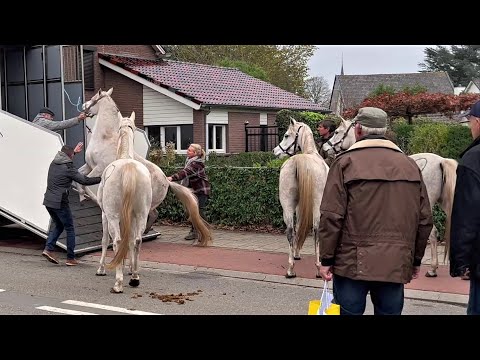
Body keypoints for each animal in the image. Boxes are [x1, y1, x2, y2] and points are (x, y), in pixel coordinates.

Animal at [78, 88, 211, 249]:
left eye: (94, 98)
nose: (83, 106)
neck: (106, 138)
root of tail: (167, 180)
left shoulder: (98, 168)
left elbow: (86, 184)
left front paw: (89, 198)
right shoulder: (88, 165)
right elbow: (78, 178)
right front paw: (81, 197)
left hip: (147, 203)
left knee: (152, 215)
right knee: (154, 215)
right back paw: (146, 232)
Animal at [95, 112, 152, 292]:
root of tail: (128, 168)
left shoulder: (105, 215)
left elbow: (105, 240)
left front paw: (101, 269)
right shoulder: (132, 217)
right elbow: (132, 240)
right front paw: (131, 268)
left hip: (113, 215)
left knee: (117, 241)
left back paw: (118, 283)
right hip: (141, 214)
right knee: (137, 240)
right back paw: (134, 278)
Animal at [274, 118, 330, 278]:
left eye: (286, 135)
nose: (275, 151)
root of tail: (298, 161)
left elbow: (298, 226)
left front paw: (296, 254)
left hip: (287, 205)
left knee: (290, 230)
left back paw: (290, 268)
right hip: (317, 204)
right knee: (316, 229)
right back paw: (318, 268)